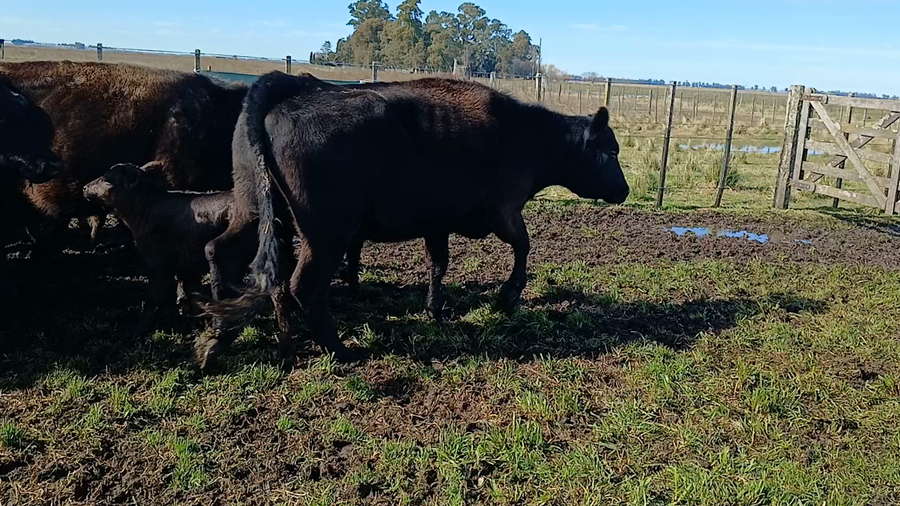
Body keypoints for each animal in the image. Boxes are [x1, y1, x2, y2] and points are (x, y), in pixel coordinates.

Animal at [200, 72, 629, 369]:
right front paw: (507, 297)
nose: (624, 190)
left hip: (253, 210)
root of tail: (282, 96)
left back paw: (219, 339)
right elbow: (524, 246)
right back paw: (340, 351)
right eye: (610, 151)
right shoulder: (503, 211)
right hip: (325, 234)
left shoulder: (437, 223)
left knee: (219, 251)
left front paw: (435, 310)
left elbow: (438, 264)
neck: (526, 136)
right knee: (303, 286)